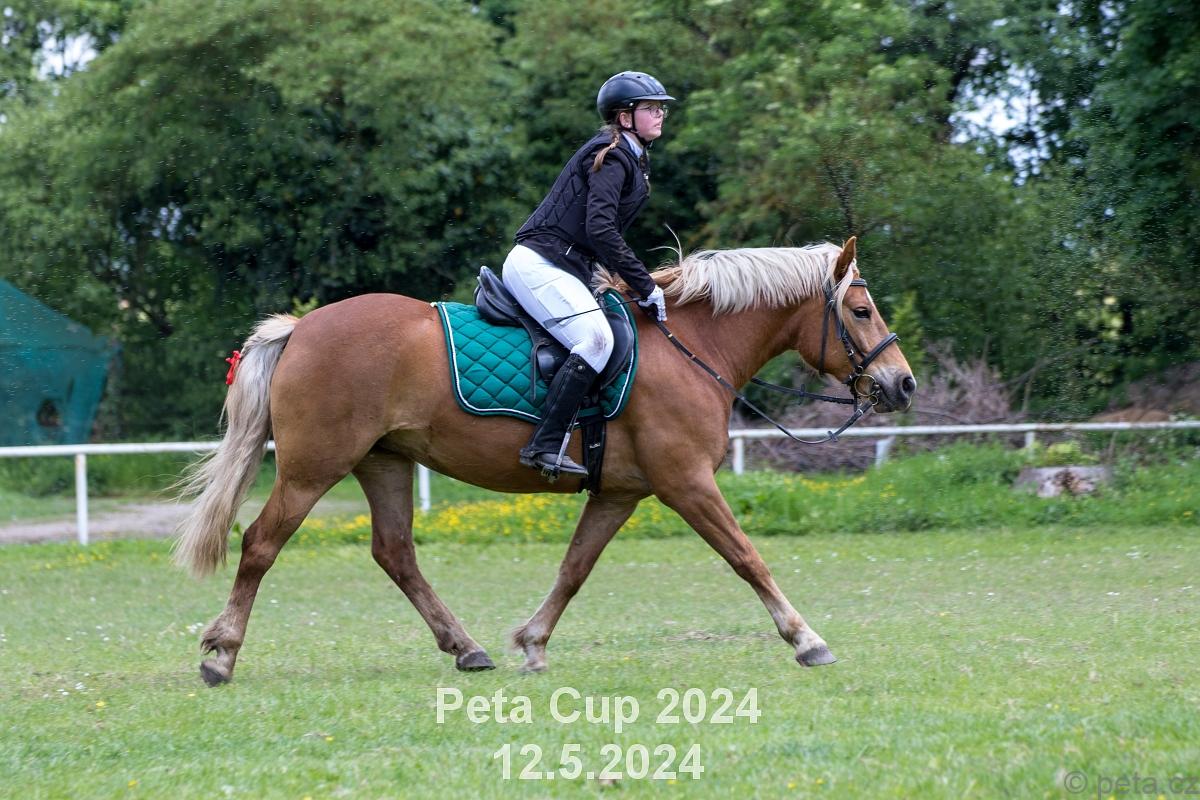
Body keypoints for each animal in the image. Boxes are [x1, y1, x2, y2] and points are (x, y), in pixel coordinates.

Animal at [174, 236, 915, 685]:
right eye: (861, 310)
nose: (903, 384)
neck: (691, 346)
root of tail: (302, 327)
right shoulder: (687, 483)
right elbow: (747, 558)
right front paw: (805, 638)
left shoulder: (620, 493)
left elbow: (574, 568)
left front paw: (532, 642)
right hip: (312, 470)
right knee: (260, 543)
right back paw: (223, 655)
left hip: (383, 462)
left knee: (396, 554)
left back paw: (466, 648)